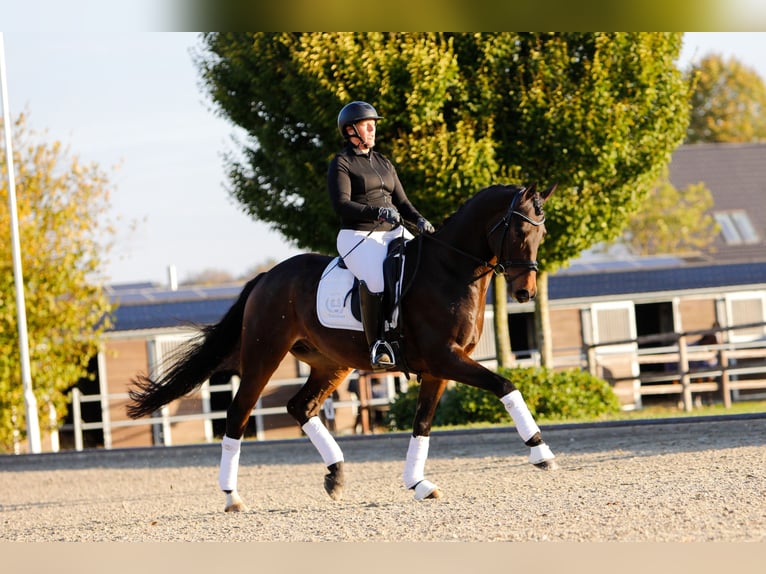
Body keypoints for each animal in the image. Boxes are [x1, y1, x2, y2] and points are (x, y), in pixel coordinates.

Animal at [126, 183, 560, 512]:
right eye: (520, 233)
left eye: (542, 235)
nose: (525, 292)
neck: (449, 271)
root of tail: (266, 276)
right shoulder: (445, 359)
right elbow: (506, 385)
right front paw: (541, 452)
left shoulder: (439, 368)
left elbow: (422, 424)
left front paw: (417, 483)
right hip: (264, 355)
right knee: (239, 413)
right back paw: (232, 496)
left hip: (331, 364)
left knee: (300, 407)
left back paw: (335, 474)